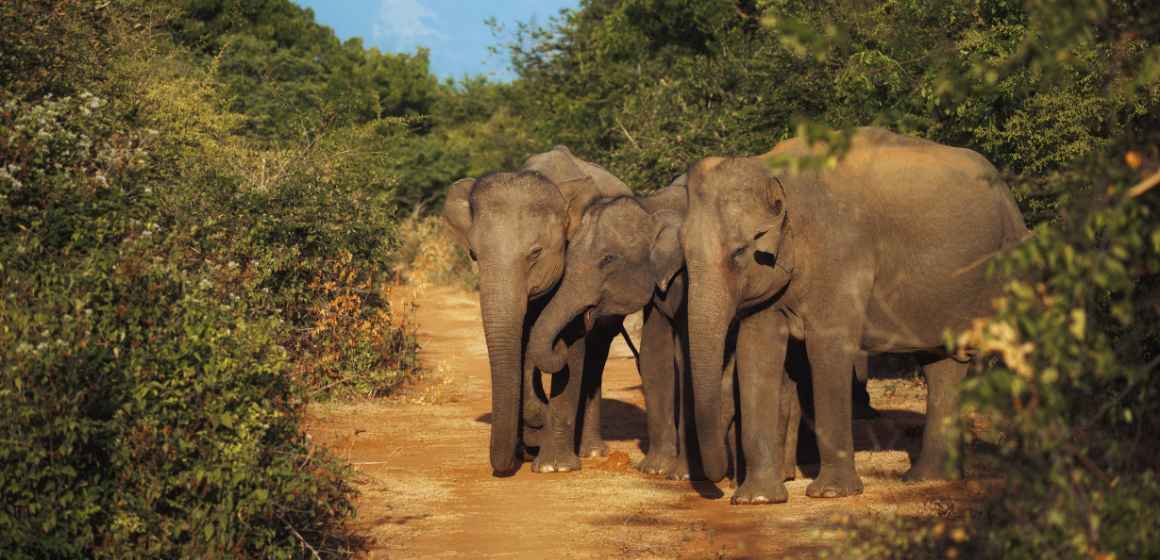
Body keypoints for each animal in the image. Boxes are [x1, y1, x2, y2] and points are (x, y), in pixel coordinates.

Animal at [442, 145, 634, 473]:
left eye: (535, 253)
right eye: (474, 254)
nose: (506, 463)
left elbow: (572, 343)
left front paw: (554, 466)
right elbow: (520, 343)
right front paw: (533, 438)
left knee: (597, 355)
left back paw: (592, 450)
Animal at [679, 127, 1028, 504]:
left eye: (740, 251)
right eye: (682, 249)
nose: (720, 480)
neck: (773, 169)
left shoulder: (842, 252)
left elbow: (827, 346)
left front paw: (831, 493)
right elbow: (755, 349)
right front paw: (755, 499)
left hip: (1012, 258)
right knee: (942, 367)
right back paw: (927, 479)